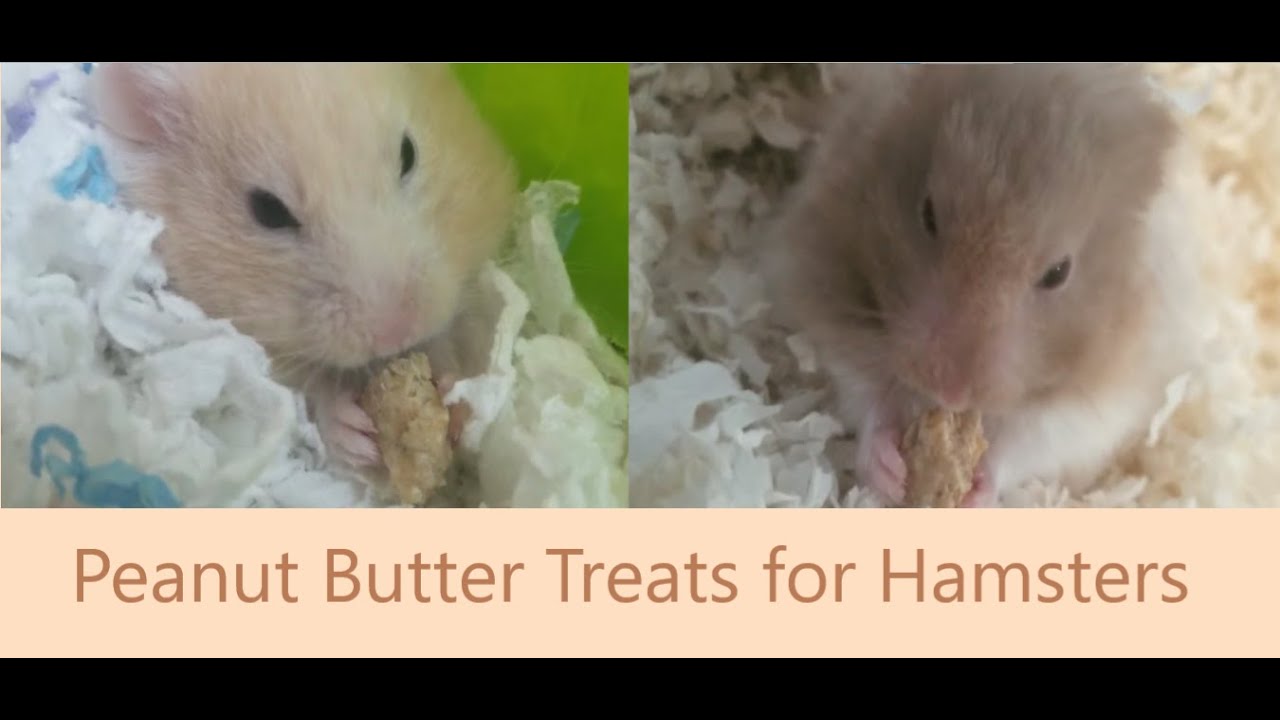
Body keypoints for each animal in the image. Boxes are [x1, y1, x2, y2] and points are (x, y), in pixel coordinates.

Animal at [92, 63, 518, 472]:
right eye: (268, 210)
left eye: (409, 153)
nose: (397, 334)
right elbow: (308, 387)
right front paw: (354, 433)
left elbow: (449, 342)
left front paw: (453, 400)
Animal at [762, 63, 1203, 507]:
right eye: (928, 214)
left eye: (1059, 272)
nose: (950, 392)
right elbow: (866, 393)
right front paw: (890, 471)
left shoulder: (1095, 404)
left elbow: (1023, 446)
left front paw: (975, 493)